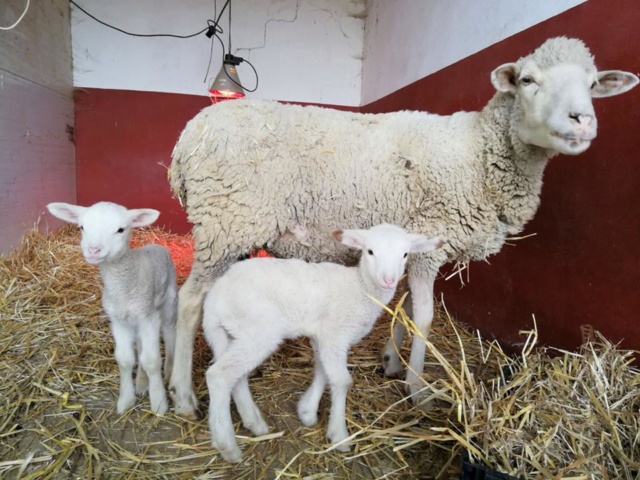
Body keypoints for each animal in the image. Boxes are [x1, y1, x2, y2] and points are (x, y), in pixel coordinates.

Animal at [46, 201, 178, 414]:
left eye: (120, 230)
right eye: (82, 227)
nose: (93, 250)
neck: (124, 283)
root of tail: (156, 245)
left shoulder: (149, 317)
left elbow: (151, 360)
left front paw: (159, 403)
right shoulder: (118, 320)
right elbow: (125, 359)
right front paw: (126, 400)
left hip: (168, 300)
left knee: (170, 332)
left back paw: (168, 371)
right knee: (140, 344)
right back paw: (141, 383)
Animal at [168, 36, 636, 416]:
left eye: (593, 84)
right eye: (526, 80)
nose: (581, 120)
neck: (478, 155)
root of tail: (186, 139)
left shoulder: (413, 243)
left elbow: (405, 308)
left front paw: (392, 361)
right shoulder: (432, 238)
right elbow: (425, 316)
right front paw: (418, 387)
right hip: (226, 220)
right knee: (189, 300)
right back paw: (183, 393)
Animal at [202, 223, 442, 464]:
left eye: (405, 254)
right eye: (370, 251)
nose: (389, 280)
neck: (361, 287)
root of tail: (214, 299)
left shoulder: (323, 336)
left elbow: (322, 372)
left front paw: (307, 412)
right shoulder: (334, 335)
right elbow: (342, 381)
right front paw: (339, 435)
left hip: (231, 335)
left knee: (236, 376)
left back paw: (254, 423)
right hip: (258, 330)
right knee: (218, 376)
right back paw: (227, 446)